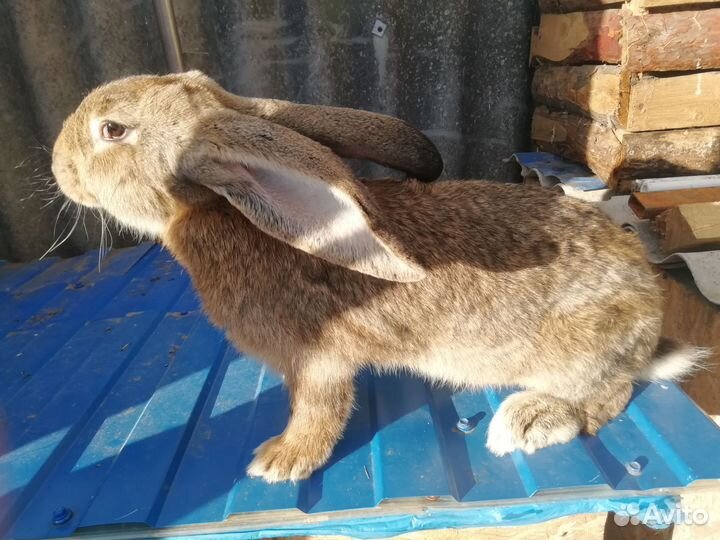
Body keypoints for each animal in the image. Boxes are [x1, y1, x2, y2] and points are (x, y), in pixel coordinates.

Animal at [51, 71, 708, 483]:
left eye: (112, 130)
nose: (58, 164)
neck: (220, 211)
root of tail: (651, 315)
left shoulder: (317, 360)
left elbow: (319, 409)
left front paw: (280, 461)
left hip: (582, 350)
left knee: (608, 396)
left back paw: (529, 422)